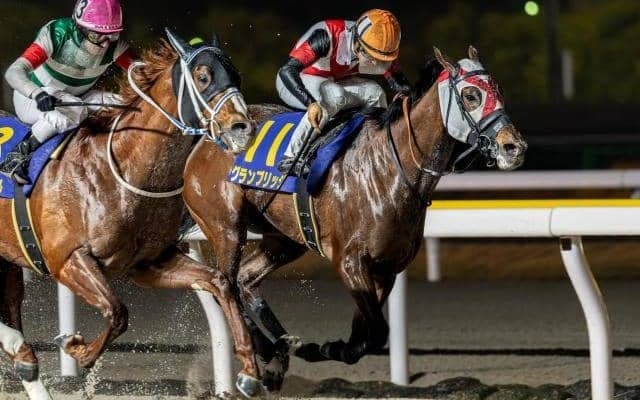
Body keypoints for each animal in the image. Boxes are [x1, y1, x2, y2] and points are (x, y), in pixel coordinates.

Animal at [0, 30, 265, 398]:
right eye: (203, 77)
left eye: (236, 76)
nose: (242, 127)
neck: (123, 169)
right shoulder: (66, 259)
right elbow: (118, 312)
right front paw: (75, 348)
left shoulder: (149, 263)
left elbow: (219, 282)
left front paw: (250, 371)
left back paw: (23, 356)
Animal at [182, 46, 528, 389]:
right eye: (471, 95)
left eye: (498, 90)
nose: (514, 147)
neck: (391, 168)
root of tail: (205, 138)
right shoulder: (350, 262)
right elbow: (373, 334)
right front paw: (320, 347)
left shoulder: (386, 268)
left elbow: (365, 339)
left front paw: (314, 347)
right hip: (226, 227)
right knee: (224, 284)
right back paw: (263, 356)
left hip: (284, 238)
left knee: (245, 280)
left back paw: (279, 353)